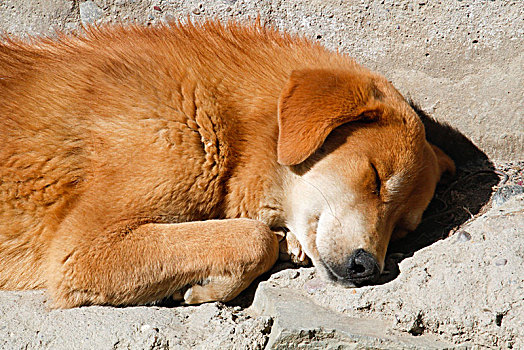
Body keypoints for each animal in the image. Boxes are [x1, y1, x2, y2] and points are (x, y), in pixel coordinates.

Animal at [0, 21, 454, 306]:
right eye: (375, 180)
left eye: (403, 229)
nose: (368, 268)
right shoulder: (82, 253)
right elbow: (254, 238)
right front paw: (212, 285)